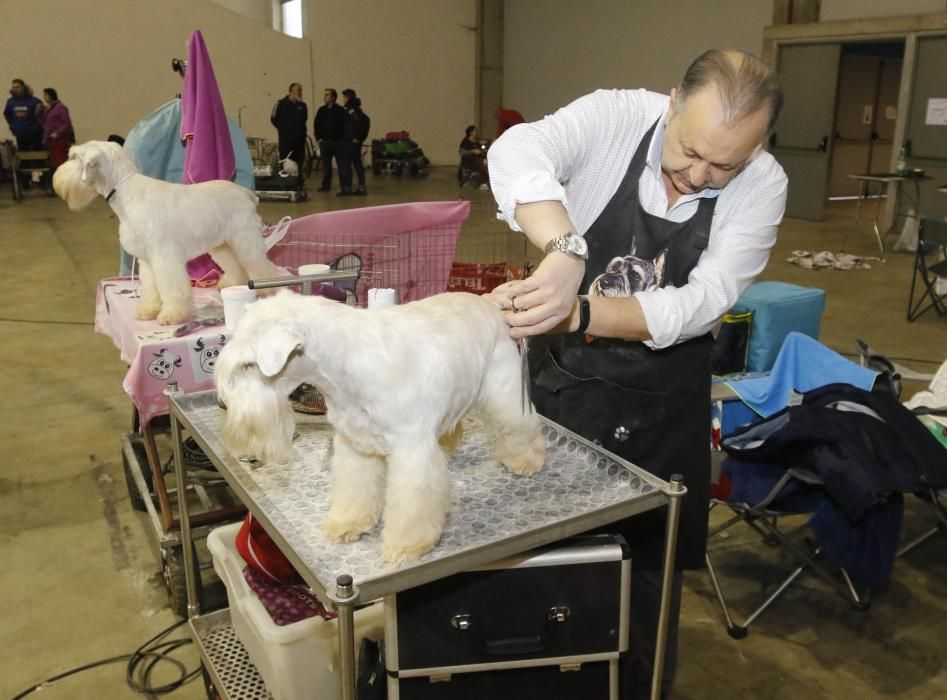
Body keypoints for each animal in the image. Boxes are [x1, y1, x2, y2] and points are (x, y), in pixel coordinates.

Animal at [54, 140, 278, 326]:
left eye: (75, 157)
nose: (56, 178)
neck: (127, 194)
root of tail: (246, 193)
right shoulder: (147, 260)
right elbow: (151, 288)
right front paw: (148, 310)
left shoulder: (165, 258)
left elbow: (172, 289)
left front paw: (172, 315)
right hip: (221, 245)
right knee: (235, 265)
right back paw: (233, 282)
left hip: (245, 240)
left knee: (262, 266)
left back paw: (267, 289)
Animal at [212, 292, 544, 564]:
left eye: (248, 364)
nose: (223, 401)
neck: (345, 365)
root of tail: (493, 306)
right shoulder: (356, 446)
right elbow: (356, 490)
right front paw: (348, 523)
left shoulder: (412, 452)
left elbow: (411, 504)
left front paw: (406, 546)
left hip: (507, 393)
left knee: (519, 427)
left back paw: (526, 460)